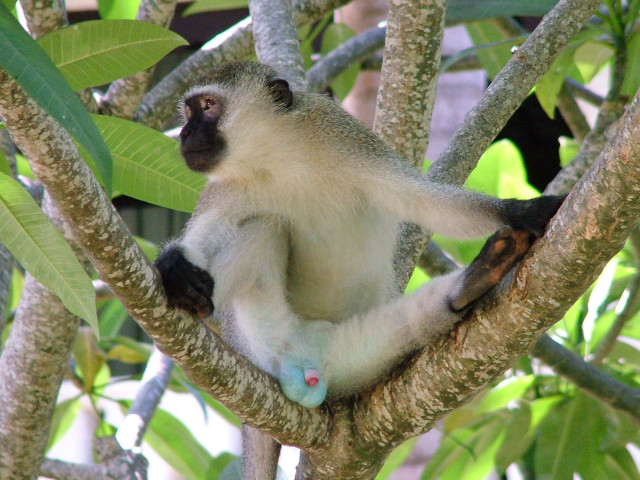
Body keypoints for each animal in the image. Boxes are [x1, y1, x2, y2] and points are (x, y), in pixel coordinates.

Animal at [154, 61, 564, 477]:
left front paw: (519, 212)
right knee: (263, 227)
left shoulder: (345, 137)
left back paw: (471, 283)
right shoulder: (225, 186)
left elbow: (421, 200)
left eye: (208, 106)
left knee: (408, 325)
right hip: (262, 340)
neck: (278, 156)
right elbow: (204, 233)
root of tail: (306, 357)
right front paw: (174, 267)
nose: (185, 133)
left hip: (355, 360)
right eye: (189, 111)